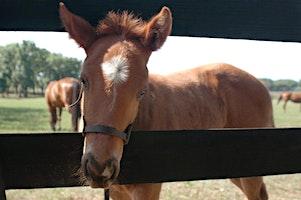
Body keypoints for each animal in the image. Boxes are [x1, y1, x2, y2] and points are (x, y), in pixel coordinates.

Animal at [59, 3, 272, 200]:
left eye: (142, 90)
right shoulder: (118, 191)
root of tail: (260, 85)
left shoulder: (149, 189)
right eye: (84, 80)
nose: (99, 168)